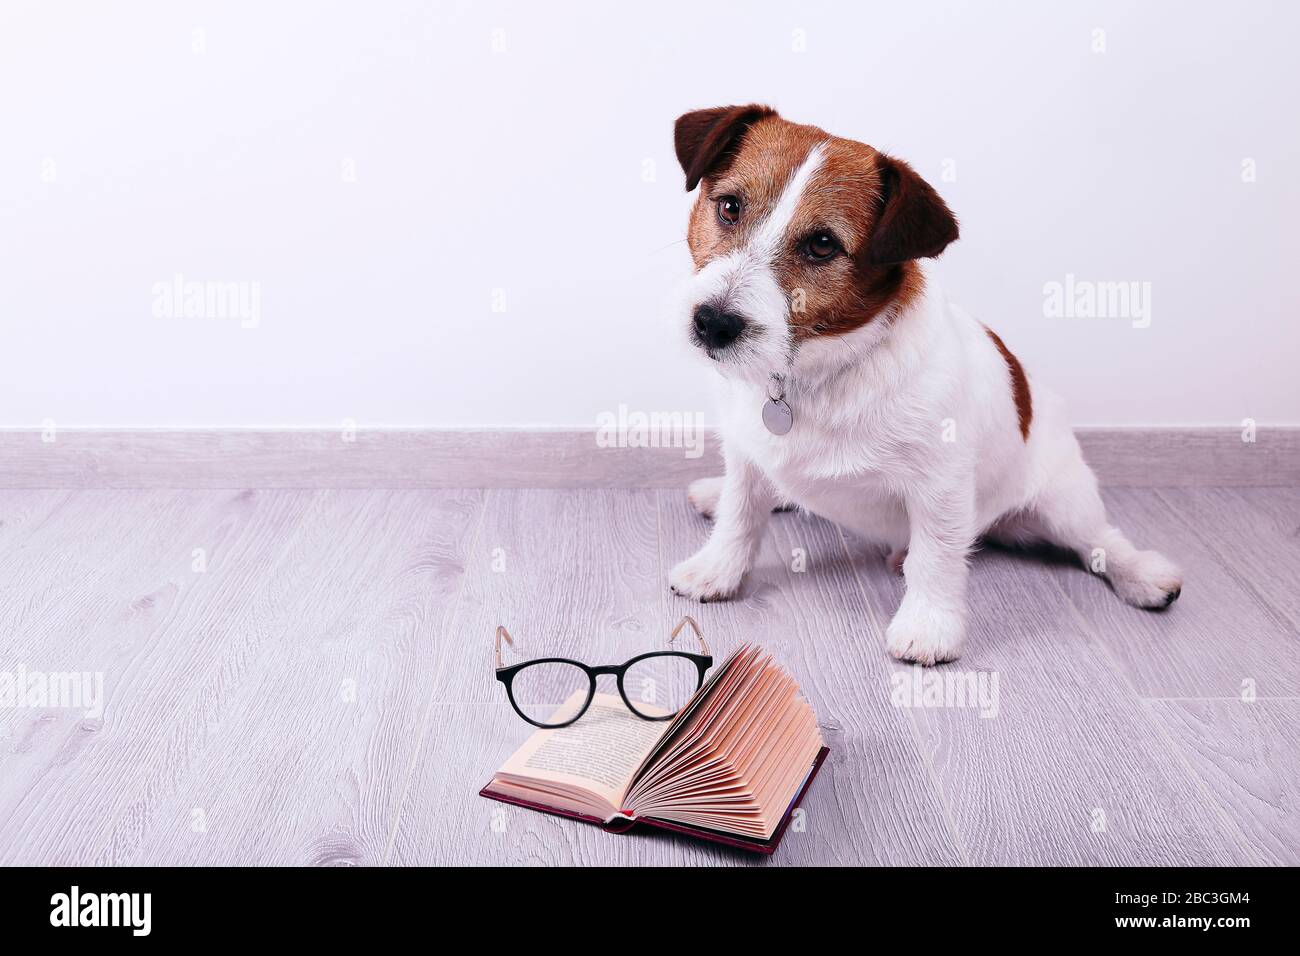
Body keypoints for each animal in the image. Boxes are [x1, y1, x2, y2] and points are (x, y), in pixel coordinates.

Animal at [665, 104, 1185, 665]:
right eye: (729, 207)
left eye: (822, 244)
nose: (713, 323)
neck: (811, 375)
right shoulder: (745, 453)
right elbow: (741, 515)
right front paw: (717, 570)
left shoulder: (940, 486)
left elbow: (935, 557)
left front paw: (929, 627)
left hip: (1063, 501)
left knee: (1099, 539)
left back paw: (1143, 574)